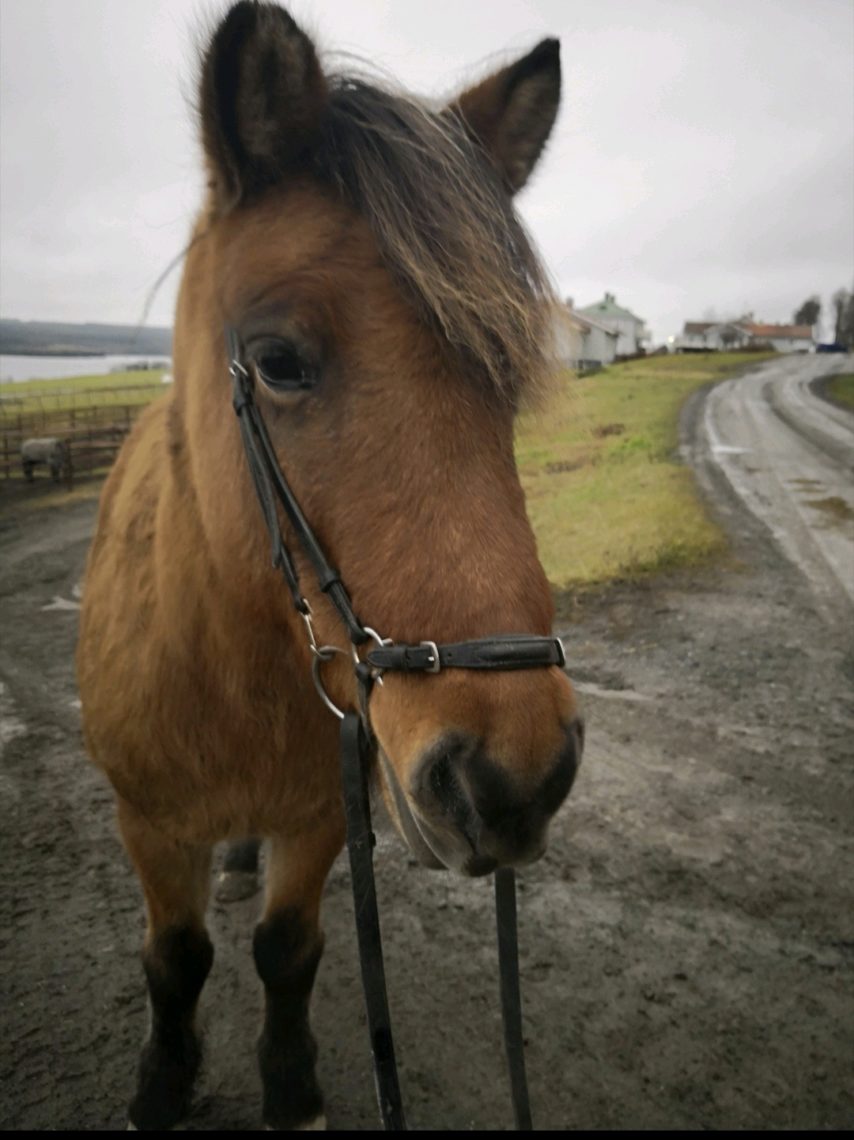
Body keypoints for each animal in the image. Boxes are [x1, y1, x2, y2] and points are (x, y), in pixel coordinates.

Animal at [76, 4, 583, 1130]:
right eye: (276, 363)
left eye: (504, 370)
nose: (513, 777)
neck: (227, 666)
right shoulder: (147, 826)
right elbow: (174, 959)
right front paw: (161, 1083)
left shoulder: (318, 819)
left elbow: (286, 950)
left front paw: (291, 1085)